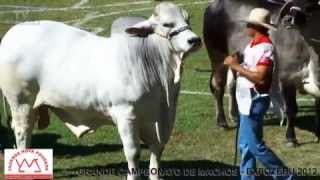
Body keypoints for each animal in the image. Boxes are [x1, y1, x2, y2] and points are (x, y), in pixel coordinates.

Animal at [0, 2, 200, 180]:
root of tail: (11, 34)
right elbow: (133, 153)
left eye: (187, 19)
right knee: (22, 132)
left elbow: (157, 149)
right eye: (167, 24)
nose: (195, 40)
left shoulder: (160, 120)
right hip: (20, 102)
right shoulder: (126, 114)